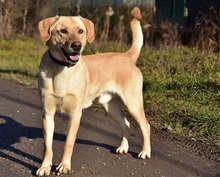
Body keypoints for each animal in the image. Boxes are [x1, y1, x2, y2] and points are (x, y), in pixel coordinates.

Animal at [37, 6, 151, 176]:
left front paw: (64, 166)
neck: (62, 69)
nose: (77, 45)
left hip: (133, 104)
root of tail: (127, 56)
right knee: (126, 124)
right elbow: (47, 146)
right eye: (63, 31)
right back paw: (124, 147)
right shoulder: (47, 114)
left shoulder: (75, 115)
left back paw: (145, 152)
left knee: (145, 126)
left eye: (80, 31)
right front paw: (45, 167)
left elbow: (68, 143)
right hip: (111, 108)